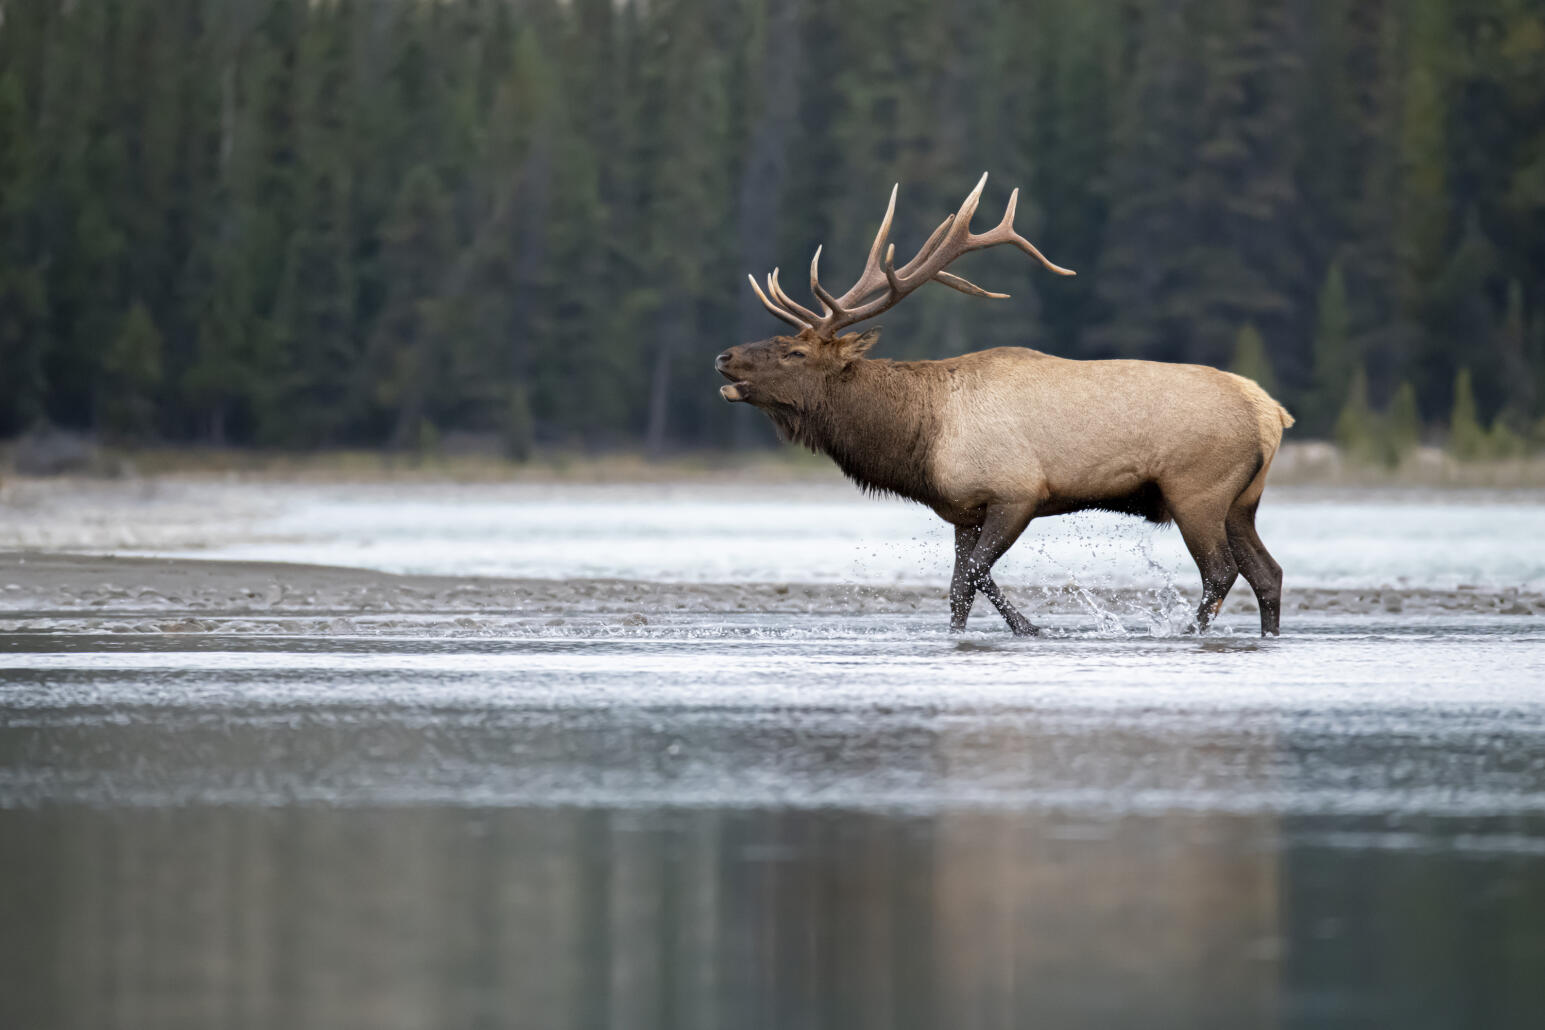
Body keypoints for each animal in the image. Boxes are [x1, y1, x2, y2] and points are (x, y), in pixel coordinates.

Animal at [716, 172, 1297, 633]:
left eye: (793, 351)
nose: (724, 357)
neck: (919, 439)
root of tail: (1272, 412)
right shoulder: (963, 510)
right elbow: (960, 589)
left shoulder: (1017, 492)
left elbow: (978, 575)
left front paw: (1033, 628)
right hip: (1241, 501)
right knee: (1267, 573)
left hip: (1196, 489)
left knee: (1220, 572)